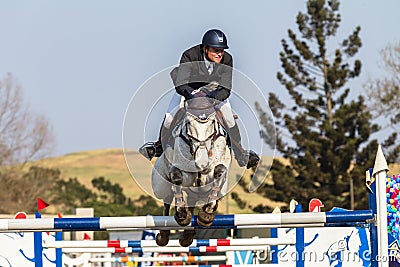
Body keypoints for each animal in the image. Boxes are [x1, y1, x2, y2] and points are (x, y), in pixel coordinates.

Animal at [151, 94, 231, 247]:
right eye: (189, 123)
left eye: (212, 123)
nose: (201, 161)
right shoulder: (185, 175)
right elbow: (177, 176)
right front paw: (182, 214)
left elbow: (219, 171)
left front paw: (207, 214)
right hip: (161, 185)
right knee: (167, 198)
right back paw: (164, 235)